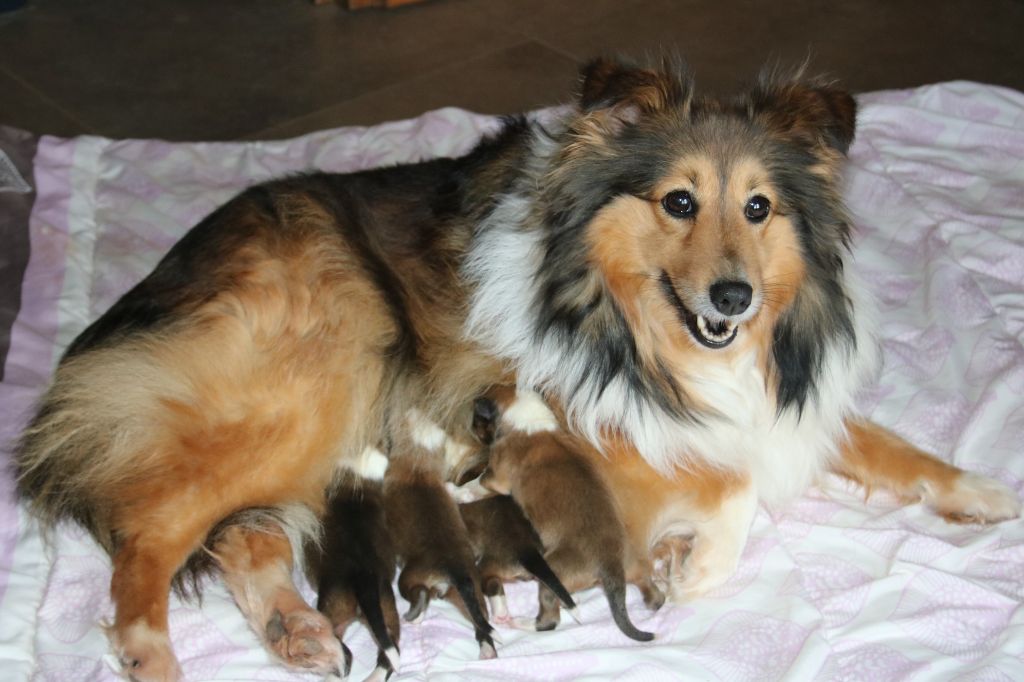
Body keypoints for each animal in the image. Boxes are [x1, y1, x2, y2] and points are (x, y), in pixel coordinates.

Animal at [477, 385, 659, 638]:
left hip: (552, 575)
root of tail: (610, 563)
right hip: (632, 565)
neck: (529, 417)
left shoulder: (496, 477)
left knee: (550, 618)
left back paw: (523, 622)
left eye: (478, 418)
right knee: (651, 587)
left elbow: (476, 483)